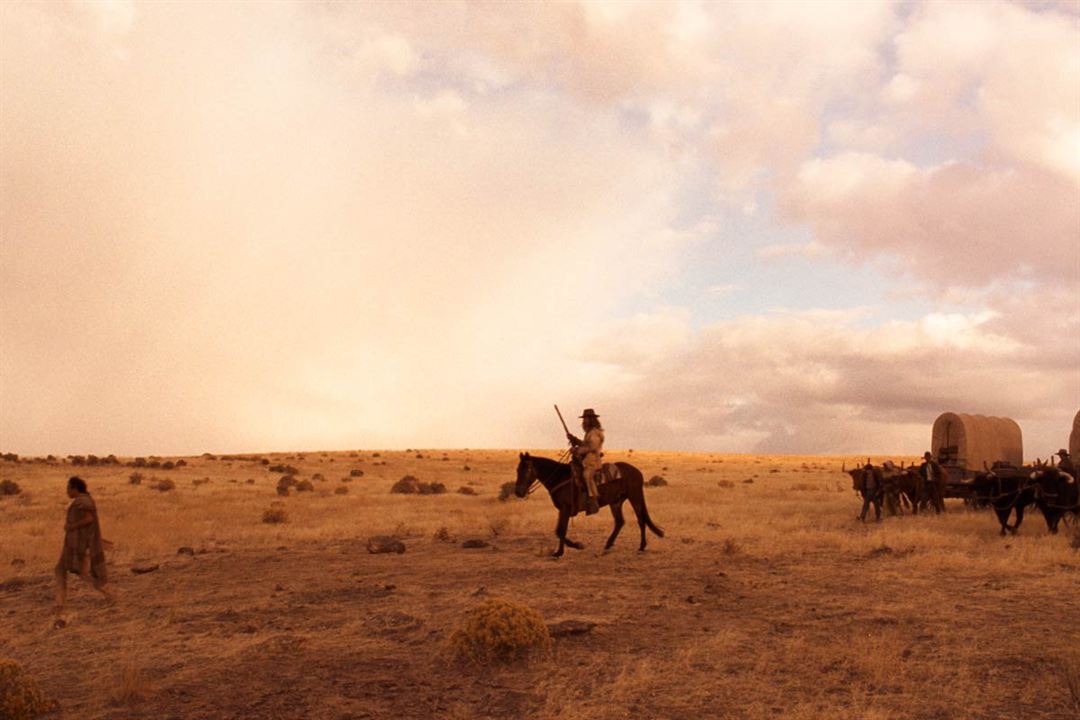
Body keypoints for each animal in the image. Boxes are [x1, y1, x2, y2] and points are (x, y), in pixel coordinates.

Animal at [511, 453, 660, 561]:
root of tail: (637, 471)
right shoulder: (562, 510)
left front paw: (573, 547)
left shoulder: (565, 508)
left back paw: (641, 546)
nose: (518, 492)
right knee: (620, 521)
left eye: (527, 469)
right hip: (616, 502)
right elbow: (559, 530)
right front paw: (562, 551)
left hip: (635, 497)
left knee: (641, 520)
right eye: (517, 469)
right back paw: (608, 544)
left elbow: (561, 531)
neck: (559, 478)